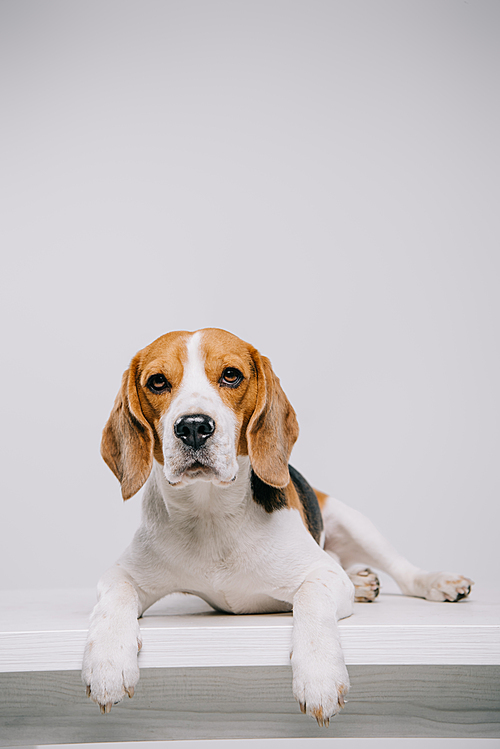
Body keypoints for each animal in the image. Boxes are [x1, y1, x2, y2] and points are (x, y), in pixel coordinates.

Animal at [82, 328, 472, 724]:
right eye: (158, 382)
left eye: (231, 375)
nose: (193, 427)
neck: (212, 514)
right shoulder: (121, 574)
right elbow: (115, 599)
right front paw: (108, 663)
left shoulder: (324, 574)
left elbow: (310, 598)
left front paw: (318, 676)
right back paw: (364, 583)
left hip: (354, 522)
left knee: (404, 572)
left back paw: (437, 582)